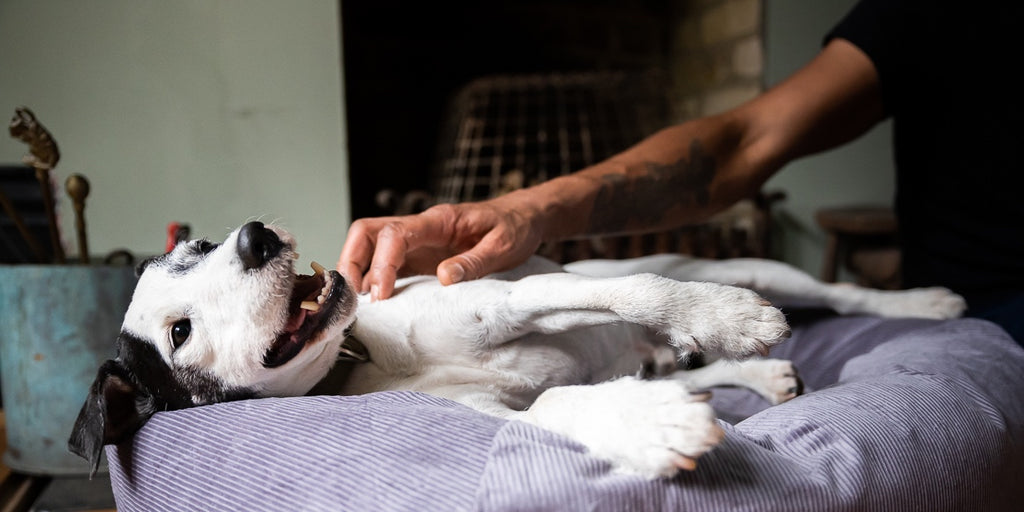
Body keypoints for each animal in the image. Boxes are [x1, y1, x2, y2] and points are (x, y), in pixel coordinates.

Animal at [68, 222, 962, 477]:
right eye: (179, 333)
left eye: (198, 244)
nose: (253, 236)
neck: (365, 357)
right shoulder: (494, 411)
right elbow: (560, 404)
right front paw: (654, 428)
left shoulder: (507, 298)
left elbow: (638, 293)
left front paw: (726, 319)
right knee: (682, 362)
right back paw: (752, 375)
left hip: (747, 264)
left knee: (838, 295)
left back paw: (921, 301)